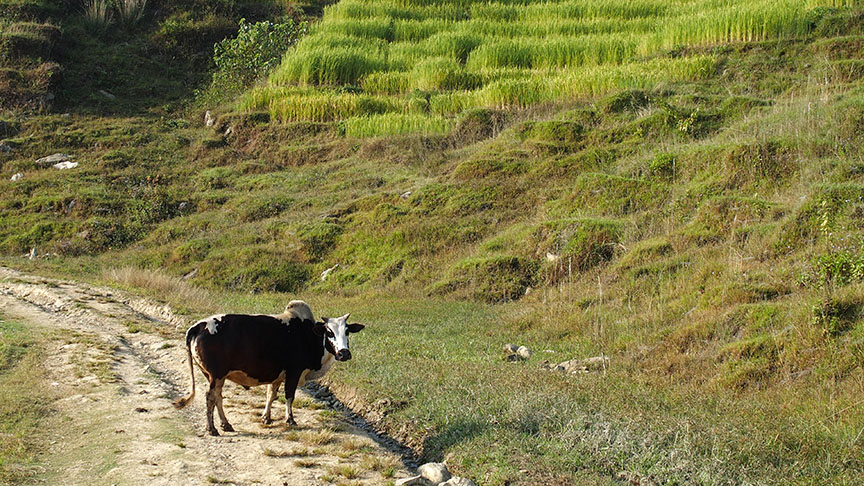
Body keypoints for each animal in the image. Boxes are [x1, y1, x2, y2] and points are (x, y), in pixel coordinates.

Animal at [174, 304, 362, 436]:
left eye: (347, 331)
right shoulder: (293, 372)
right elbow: (289, 396)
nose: (344, 353)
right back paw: (212, 429)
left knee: (218, 397)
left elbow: (271, 395)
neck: (309, 336)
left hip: (215, 377)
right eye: (329, 332)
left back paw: (226, 424)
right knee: (210, 397)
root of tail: (199, 325)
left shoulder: (278, 376)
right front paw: (290, 419)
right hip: (216, 375)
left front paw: (267, 417)